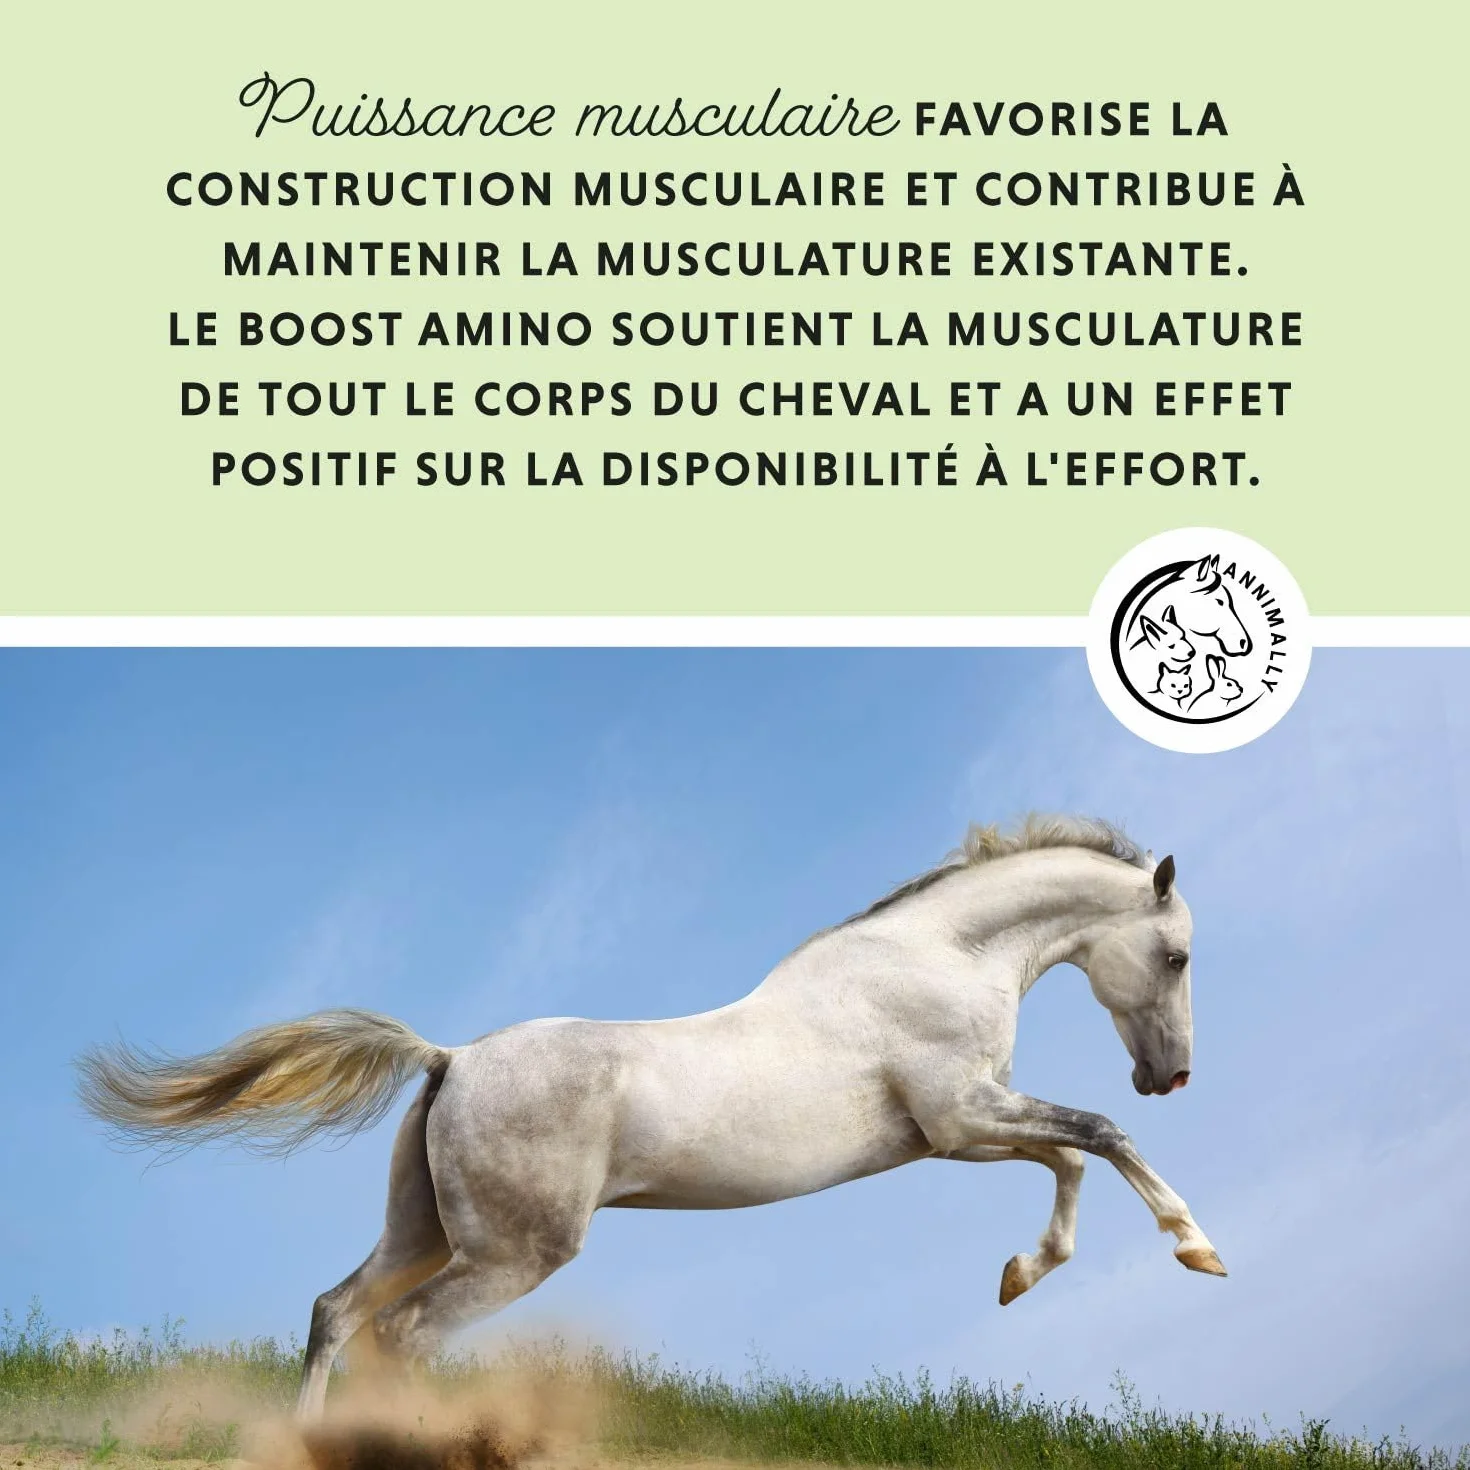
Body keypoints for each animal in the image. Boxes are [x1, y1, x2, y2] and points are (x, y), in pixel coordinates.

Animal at [77, 815, 1226, 1420]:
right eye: (1176, 956)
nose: (1169, 1076)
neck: (936, 961)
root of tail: (450, 1059)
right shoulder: (963, 1117)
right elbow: (1099, 1138)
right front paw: (1197, 1250)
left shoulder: (959, 1134)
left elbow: (1070, 1161)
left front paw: (1019, 1275)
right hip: (511, 1254)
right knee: (400, 1335)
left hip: (425, 1232)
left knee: (336, 1313)